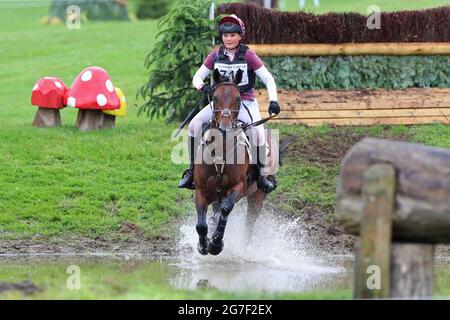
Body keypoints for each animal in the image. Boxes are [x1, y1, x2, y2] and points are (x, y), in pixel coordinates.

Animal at [192, 69, 276, 256]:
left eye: (238, 98)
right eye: (215, 97)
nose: (224, 129)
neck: (220, 151)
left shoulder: (238, 187)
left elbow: (225, 209)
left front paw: (216, 244)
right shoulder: (201, 190)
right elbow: (201, 224)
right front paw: (203, 245)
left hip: (257, 196)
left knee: (248, 224)